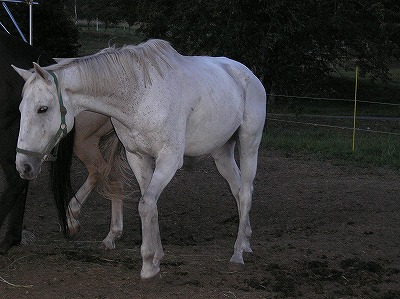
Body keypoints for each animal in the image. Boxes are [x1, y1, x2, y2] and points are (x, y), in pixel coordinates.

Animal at [13, 39, 266, 278]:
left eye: (42, 109)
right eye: (20, 108)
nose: (23, 166)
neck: (141, 95)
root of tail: (249, 75)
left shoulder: (169, 159)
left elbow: (145, 205)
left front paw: (147, 265)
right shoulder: (137, 157)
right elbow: (150, 204)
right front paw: (156, 256)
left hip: (249, 145)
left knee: (245, 192)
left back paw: (237, 254)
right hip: (222, 153)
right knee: (238, 190)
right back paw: (245, 240)